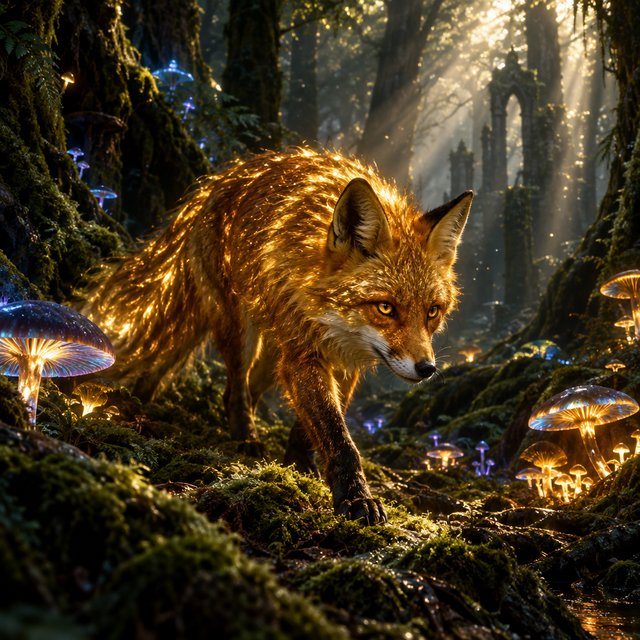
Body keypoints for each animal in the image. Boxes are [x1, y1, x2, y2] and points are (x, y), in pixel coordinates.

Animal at [87, 148, 473, 525]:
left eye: (432, 312)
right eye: (386, 307)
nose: (427, 369)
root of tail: (217, 182)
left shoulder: (345, 361)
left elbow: (312, 427)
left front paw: (299, 464)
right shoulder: (304, 353)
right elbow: (339, 438)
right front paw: (355, 497)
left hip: (273, 353)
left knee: (243, 389)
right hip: (242, 332)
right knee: (235, 389)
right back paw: (245, 439)